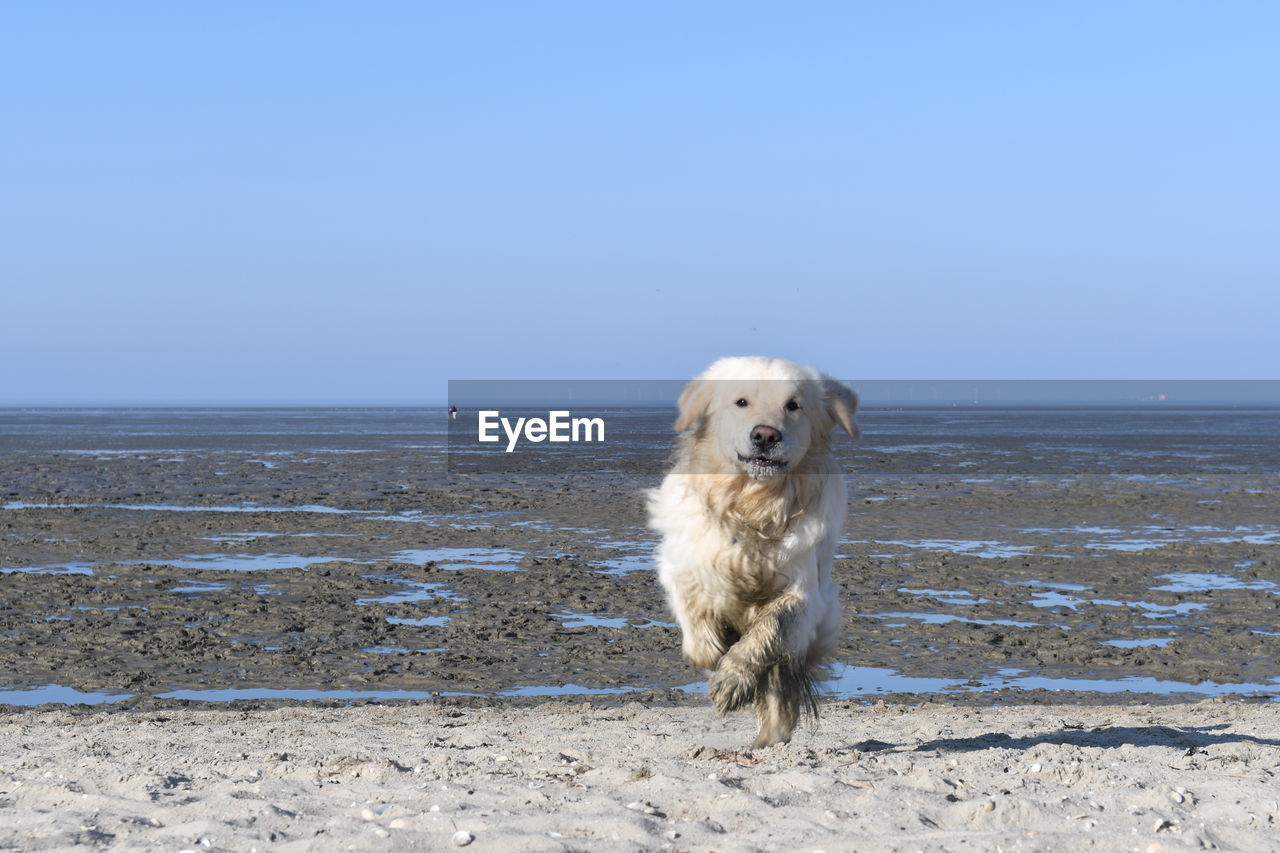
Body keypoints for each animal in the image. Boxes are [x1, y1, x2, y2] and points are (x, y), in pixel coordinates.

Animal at [650, 356, 860, 742]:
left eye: (793, 406)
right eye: (741, 402)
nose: (765, 435)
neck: (752, 503)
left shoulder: (803, 594)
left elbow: (770, 627)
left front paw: (732, 680)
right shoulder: (681, 564)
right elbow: (696, 614)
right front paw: (712, 654)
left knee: (777, 693)